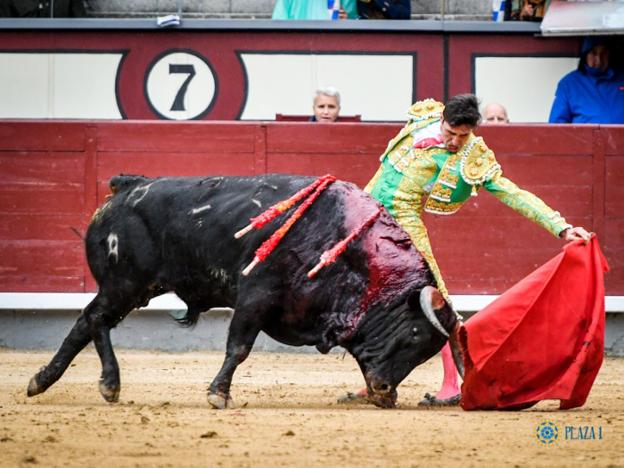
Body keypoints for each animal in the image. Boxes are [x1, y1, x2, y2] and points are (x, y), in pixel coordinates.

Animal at [26, 174, 460, 408]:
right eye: (414, 335)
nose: (385, 391)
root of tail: (126, 187)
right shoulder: (255, 296)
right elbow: (238, 347)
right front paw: (218, 395)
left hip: (132, 289)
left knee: (87, 321)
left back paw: (43, 381)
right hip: (124, 284)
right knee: (95, 319)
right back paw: (108, 384)